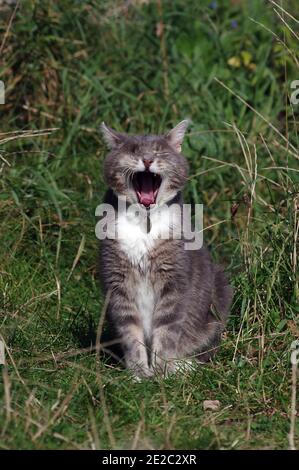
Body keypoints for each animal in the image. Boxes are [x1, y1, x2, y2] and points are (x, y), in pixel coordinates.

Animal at [99, 119, 234, 380]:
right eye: (133, 151)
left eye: (159, 151)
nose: (147, 159)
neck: (144, 221)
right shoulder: (118, 281)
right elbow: (130, 332)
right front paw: (139, 374)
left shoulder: (175, 278)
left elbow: (167, 329)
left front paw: (162, 373)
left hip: (219, 295)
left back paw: (182, 366)